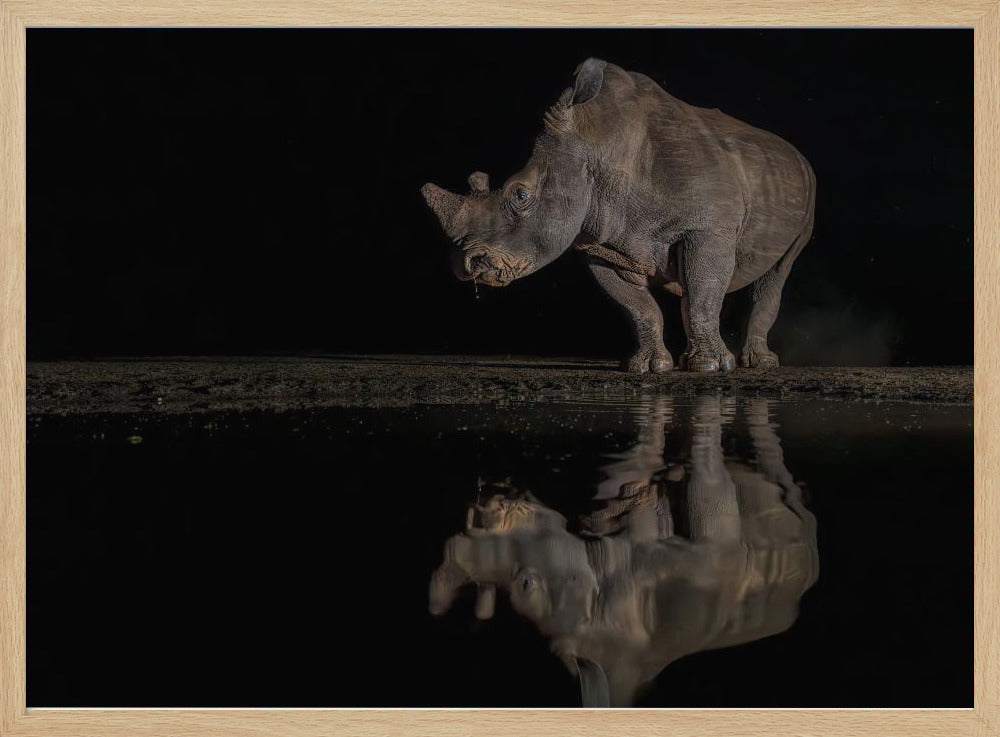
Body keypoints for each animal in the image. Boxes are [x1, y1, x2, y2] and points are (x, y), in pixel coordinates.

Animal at [422, 59, 816, 373]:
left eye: (520, 194)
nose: (467, 264)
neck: (596, 145)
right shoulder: (602, 244)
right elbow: (638, 307)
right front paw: (648, 367)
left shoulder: (707, 228)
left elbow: (702, 296)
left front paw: (709, 367)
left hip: (808, 192)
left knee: (778, 272)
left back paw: (759, 364)